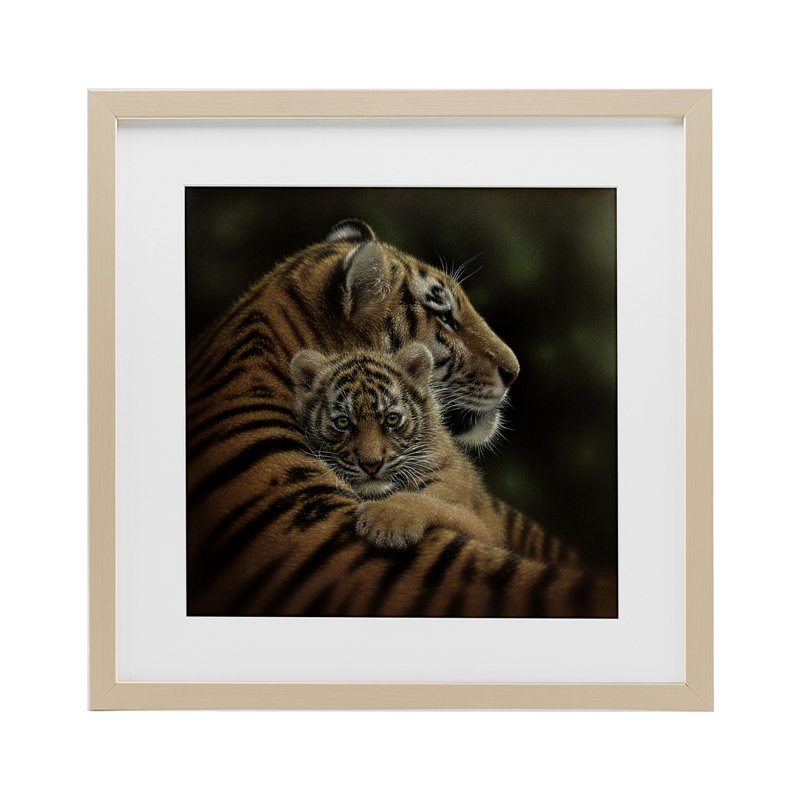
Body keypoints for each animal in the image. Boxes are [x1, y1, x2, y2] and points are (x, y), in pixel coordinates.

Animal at [290, 343, 504, 550]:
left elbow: (433, 504)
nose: (371, 465)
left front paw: (386, 522)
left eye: (392, 419)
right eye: (343, 422)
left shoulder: (482, 528)